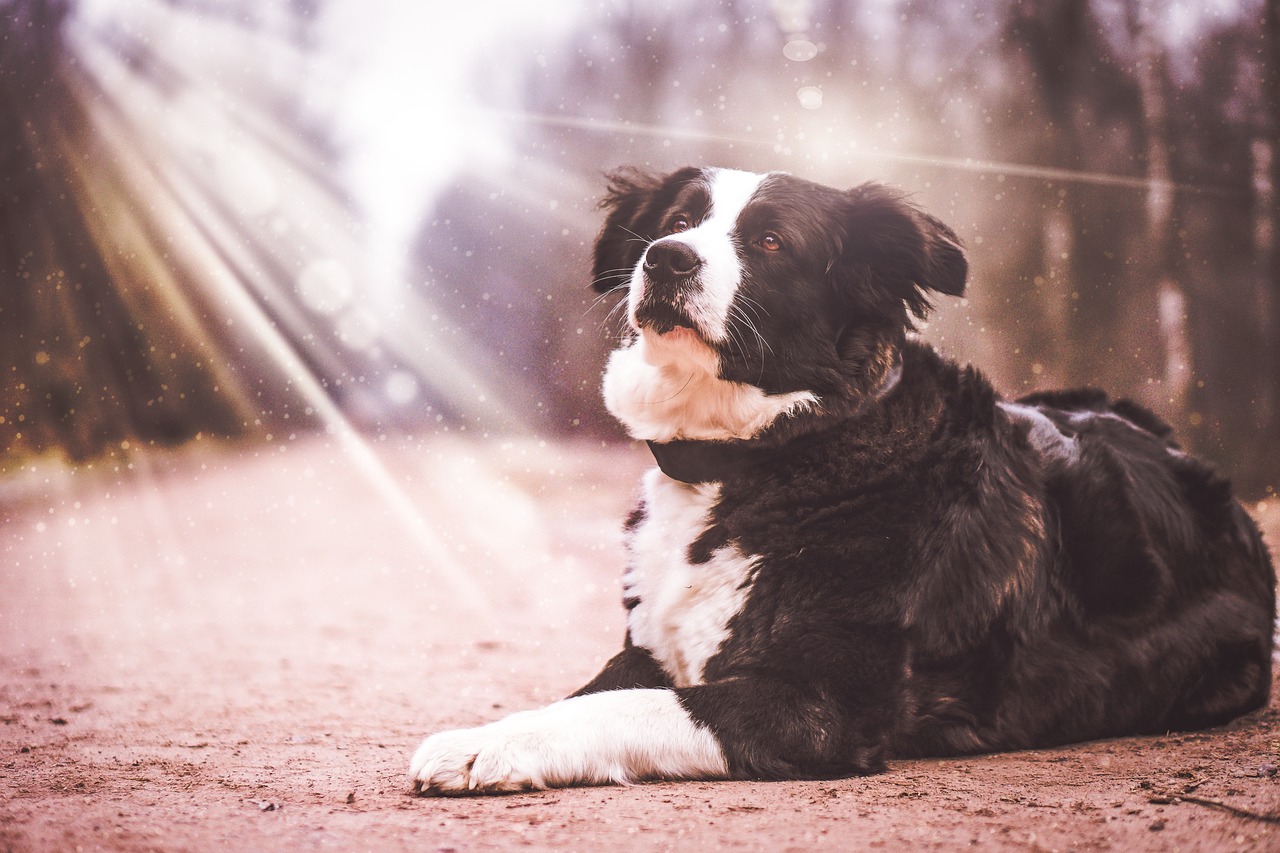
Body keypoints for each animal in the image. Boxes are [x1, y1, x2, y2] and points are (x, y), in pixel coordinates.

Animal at [407, 163, 1269, 788]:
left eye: (771, 241)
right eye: (676, 221)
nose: (666, 259)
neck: (769, 451)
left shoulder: (817, 700)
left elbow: (624, 709)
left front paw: (484, 746)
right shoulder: (647, 647)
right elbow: (599, 691)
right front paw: (492, 730)